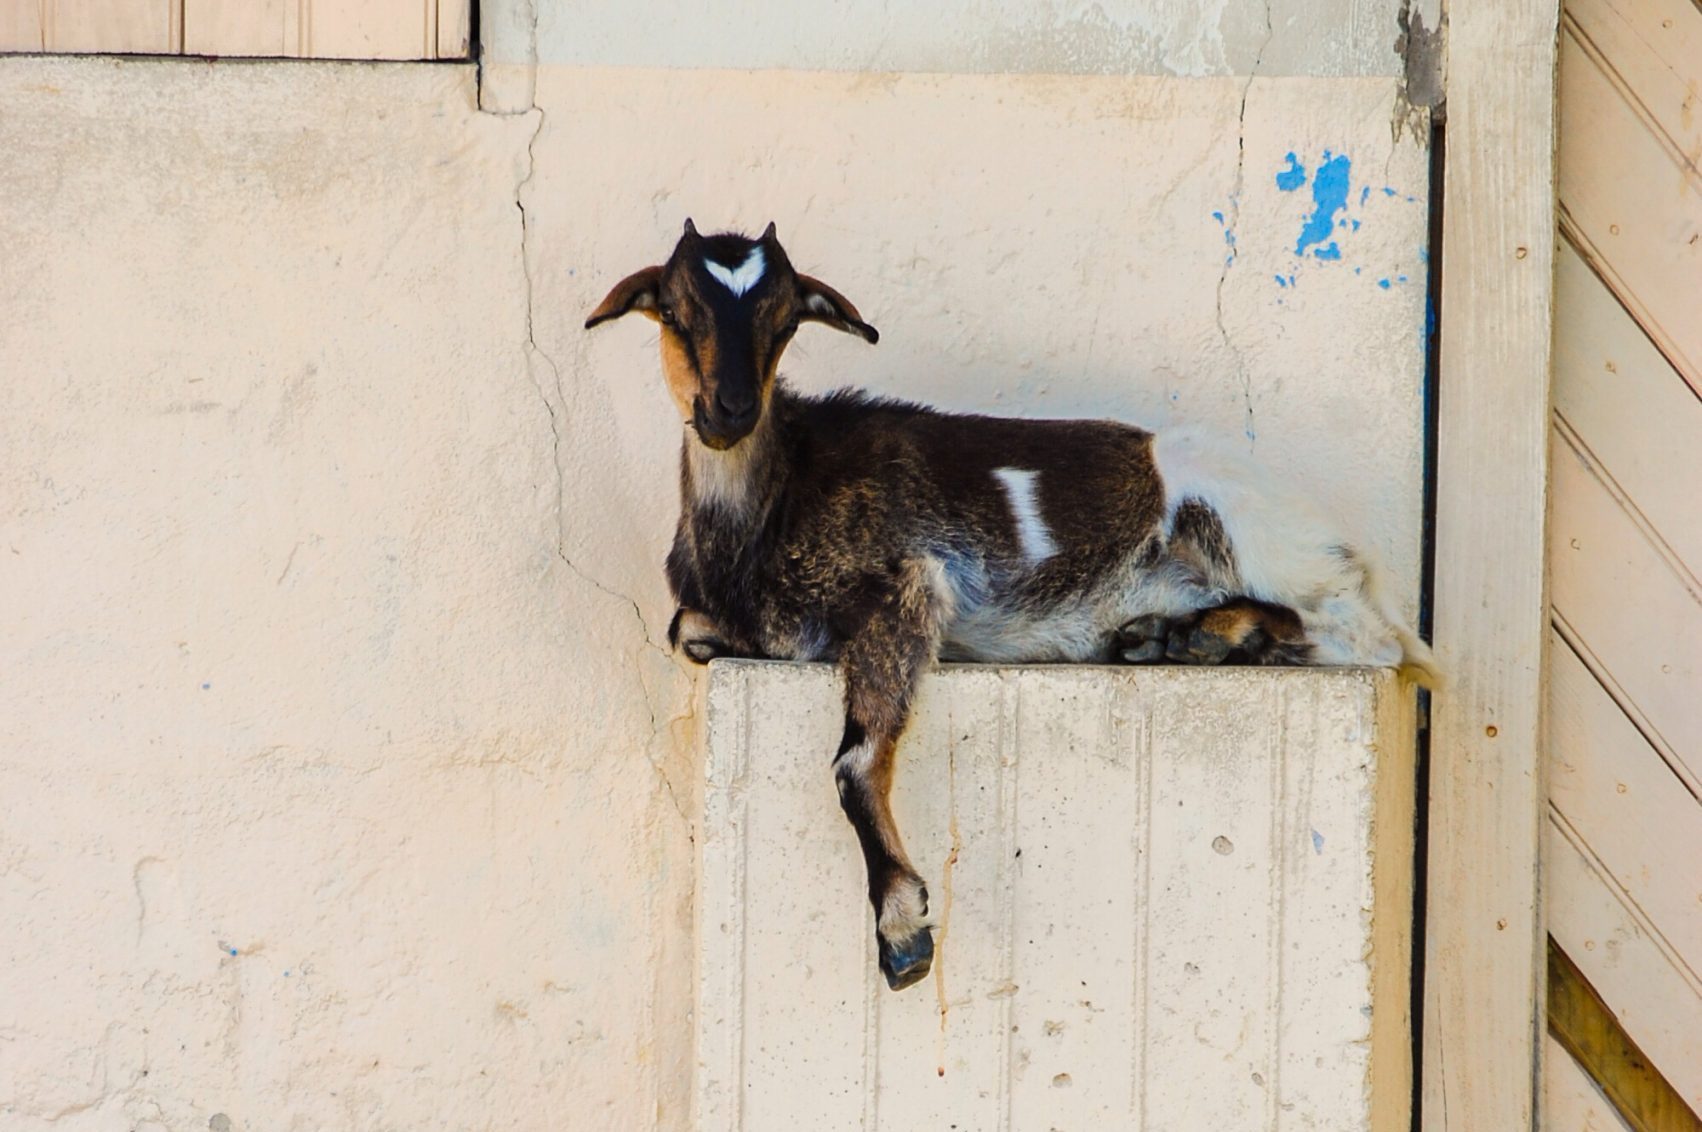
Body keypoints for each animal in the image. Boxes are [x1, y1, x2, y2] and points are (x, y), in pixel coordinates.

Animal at [585, 220, 1436, 992]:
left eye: (784, 317)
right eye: (676, 309)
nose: (729, 410)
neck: (771, 503)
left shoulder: (911, 582)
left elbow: (854, 759)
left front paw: (901, 928)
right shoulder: (725, 621)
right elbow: (685, 632)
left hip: (1251, 529)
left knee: (1370, 638)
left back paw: (1217, 636)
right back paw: (1165, 635)